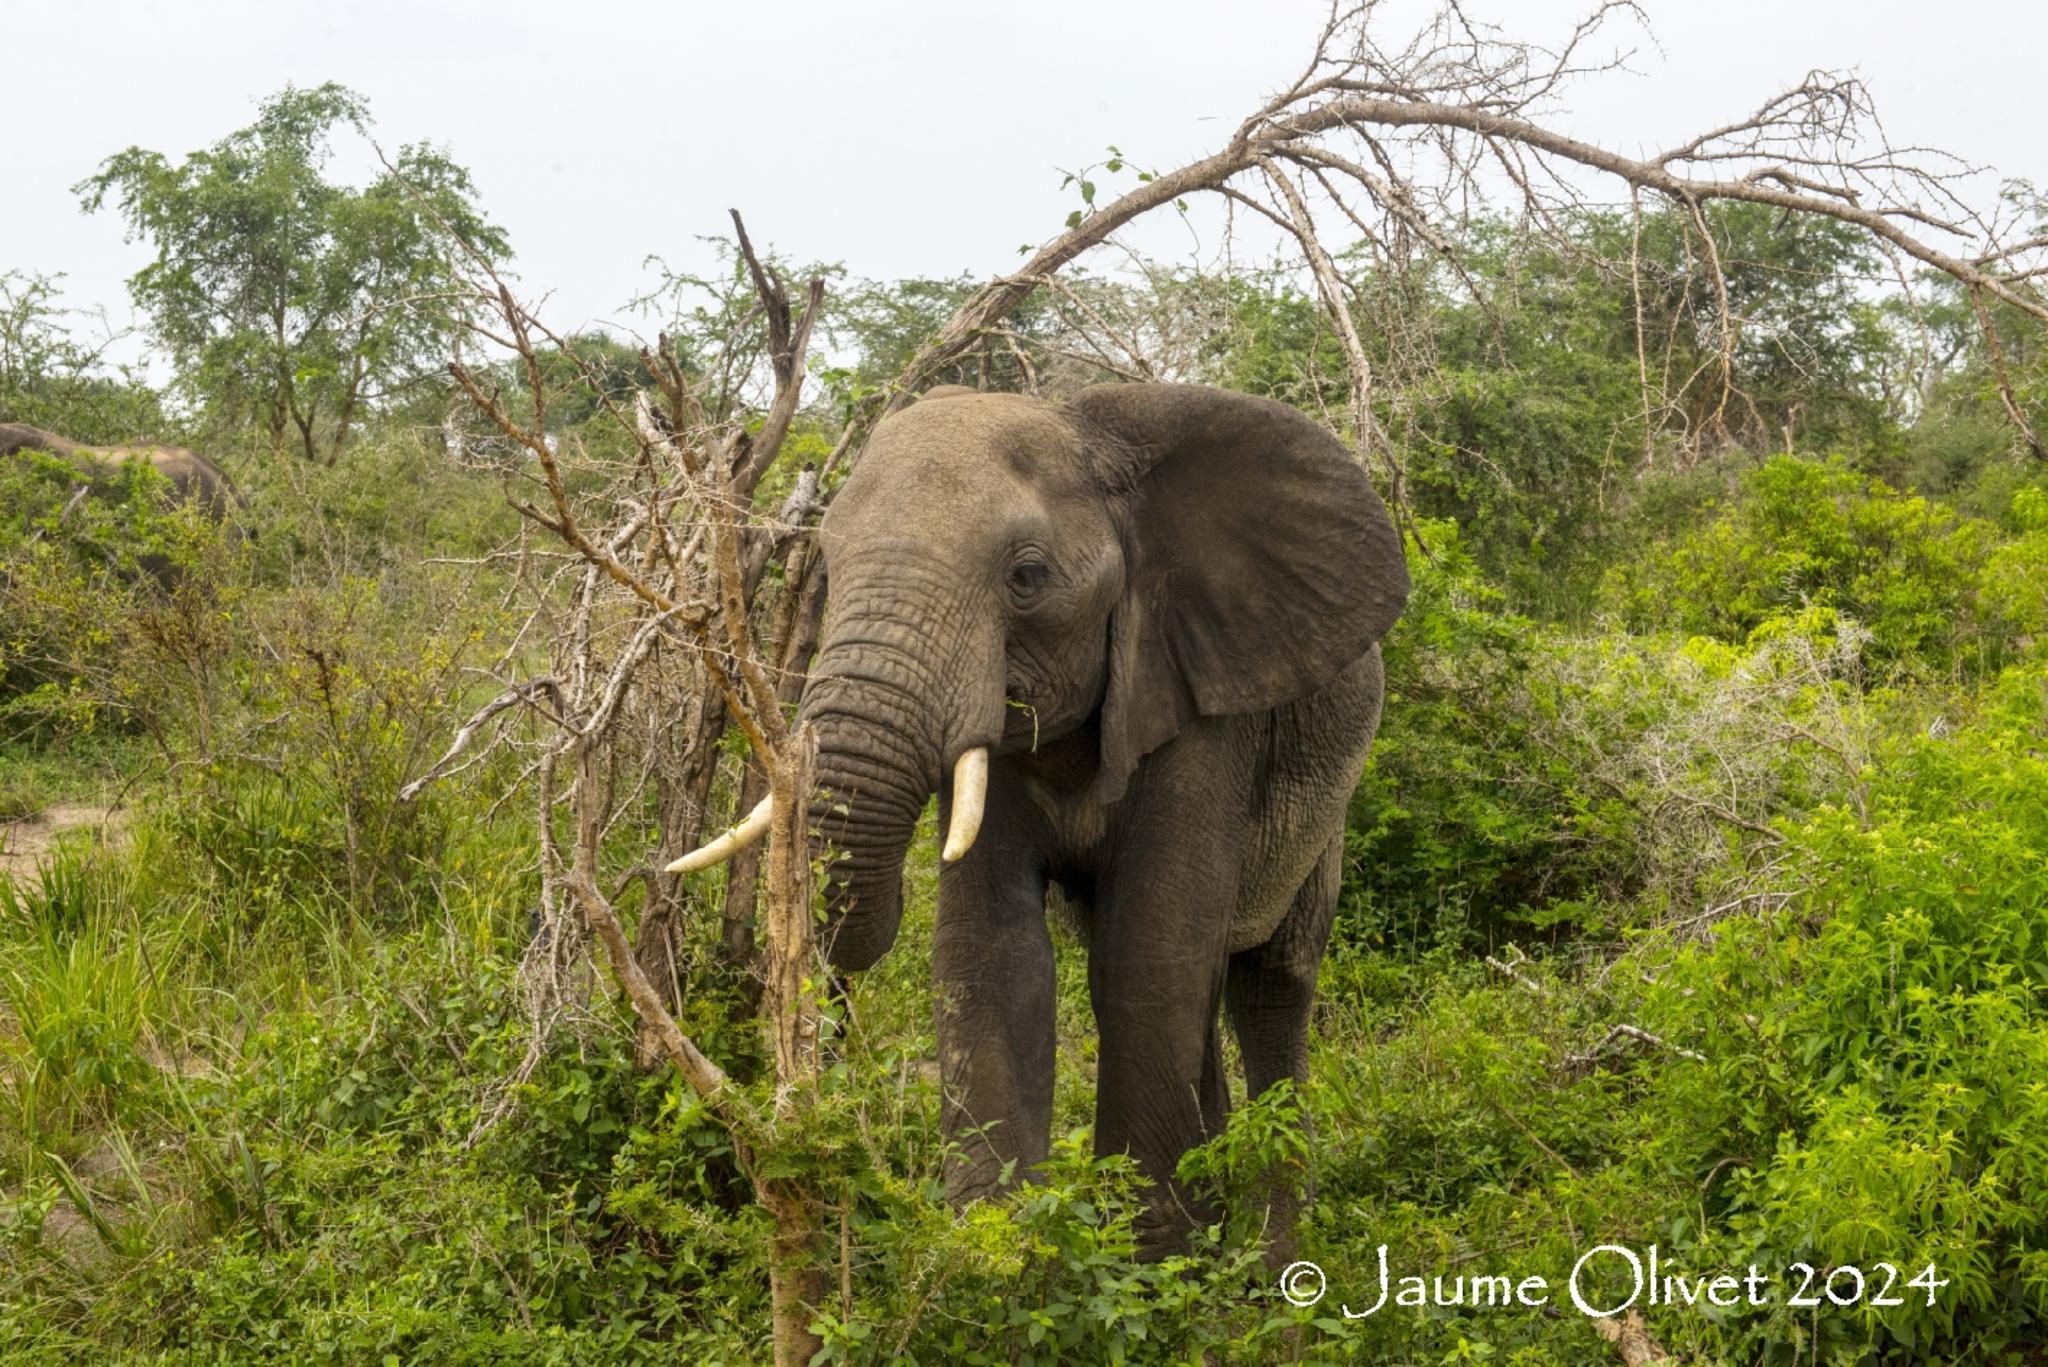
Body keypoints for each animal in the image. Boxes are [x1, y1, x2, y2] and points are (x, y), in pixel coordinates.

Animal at [671, 379, 1409, 1254]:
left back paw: (1269, 1269)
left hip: (1327, 802)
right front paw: (1002, 1251)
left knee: (1271, 982)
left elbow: (1149, 957)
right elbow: (994, 955)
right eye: (828, 560)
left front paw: (1149, 1260)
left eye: (1027, 576)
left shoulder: (1201, 711)